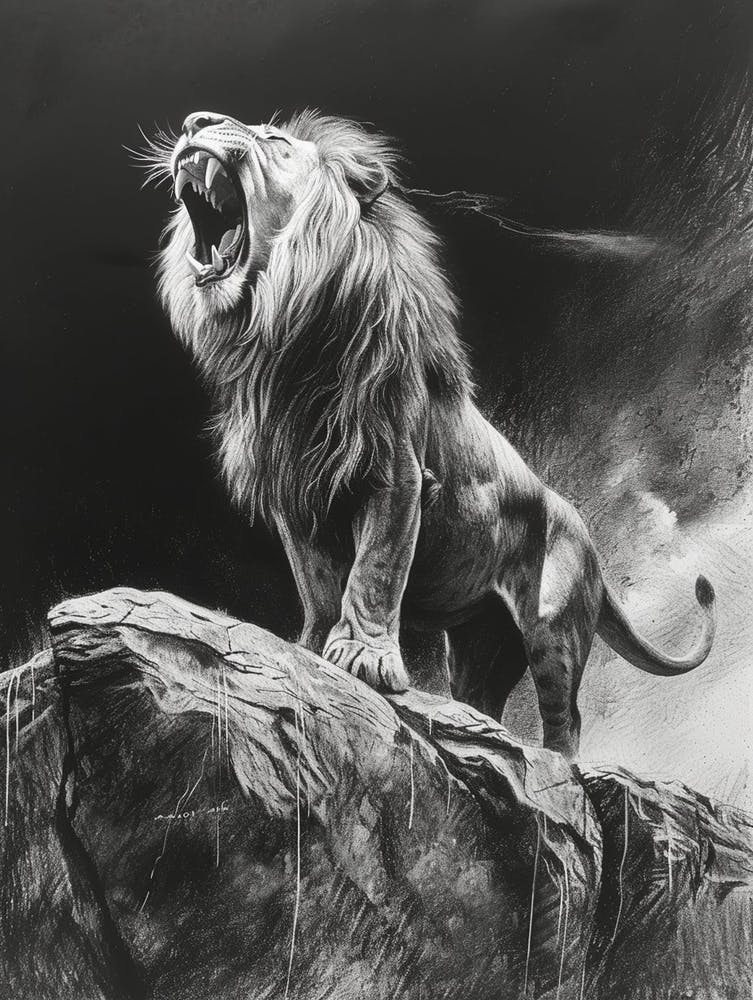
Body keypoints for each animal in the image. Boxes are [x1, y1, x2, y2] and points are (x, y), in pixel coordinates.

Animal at [149, 109, 716, 759]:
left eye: (274, 140)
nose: (196, 120)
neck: (286, 337)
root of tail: (594, 547)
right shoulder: (296, 493)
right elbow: (317, 582)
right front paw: (309, 649)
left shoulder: (397, 475)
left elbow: (374, 570)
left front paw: (362, 658)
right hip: (479, 641)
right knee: (482, 698)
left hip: (554, 627)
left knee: (566, 716)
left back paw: (555, 767)